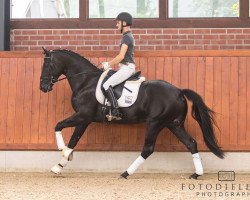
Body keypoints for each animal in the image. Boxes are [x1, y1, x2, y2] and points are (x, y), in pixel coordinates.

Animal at [39, 48, 225, 180]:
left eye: (47, 65)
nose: (43, 87)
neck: (86, 82)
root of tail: (179, 91)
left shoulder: (84, 116)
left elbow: (61, 128)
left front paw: (62, 152)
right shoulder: (84, 119)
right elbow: (73, 139)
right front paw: (60, 164)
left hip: (155, 123)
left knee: (148, 149)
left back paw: (125, 173)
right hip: (174, 124)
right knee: (191, 143)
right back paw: (196, 174)